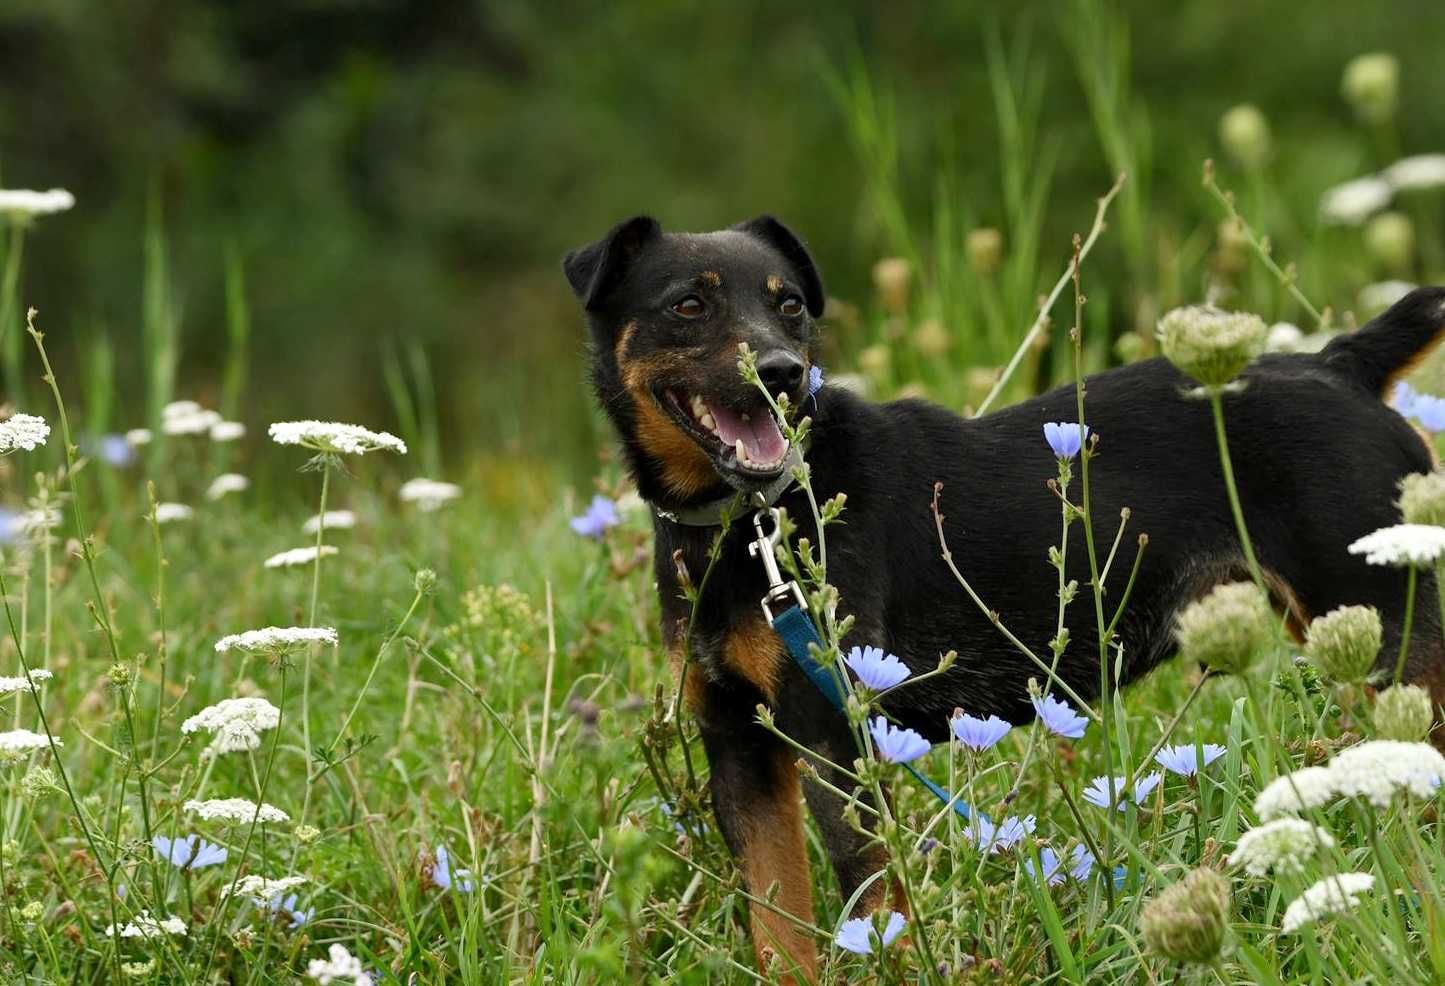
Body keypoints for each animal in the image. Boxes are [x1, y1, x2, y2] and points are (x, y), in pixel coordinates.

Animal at [560, 215, 1445, 977]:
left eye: (789, 306)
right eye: (688, 304)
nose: (779, 371)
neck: (748, 523)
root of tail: (1341, 364)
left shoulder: (834, 740)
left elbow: (870, 909)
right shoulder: (742, 751)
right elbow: (778, 926)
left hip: (1391, 636)